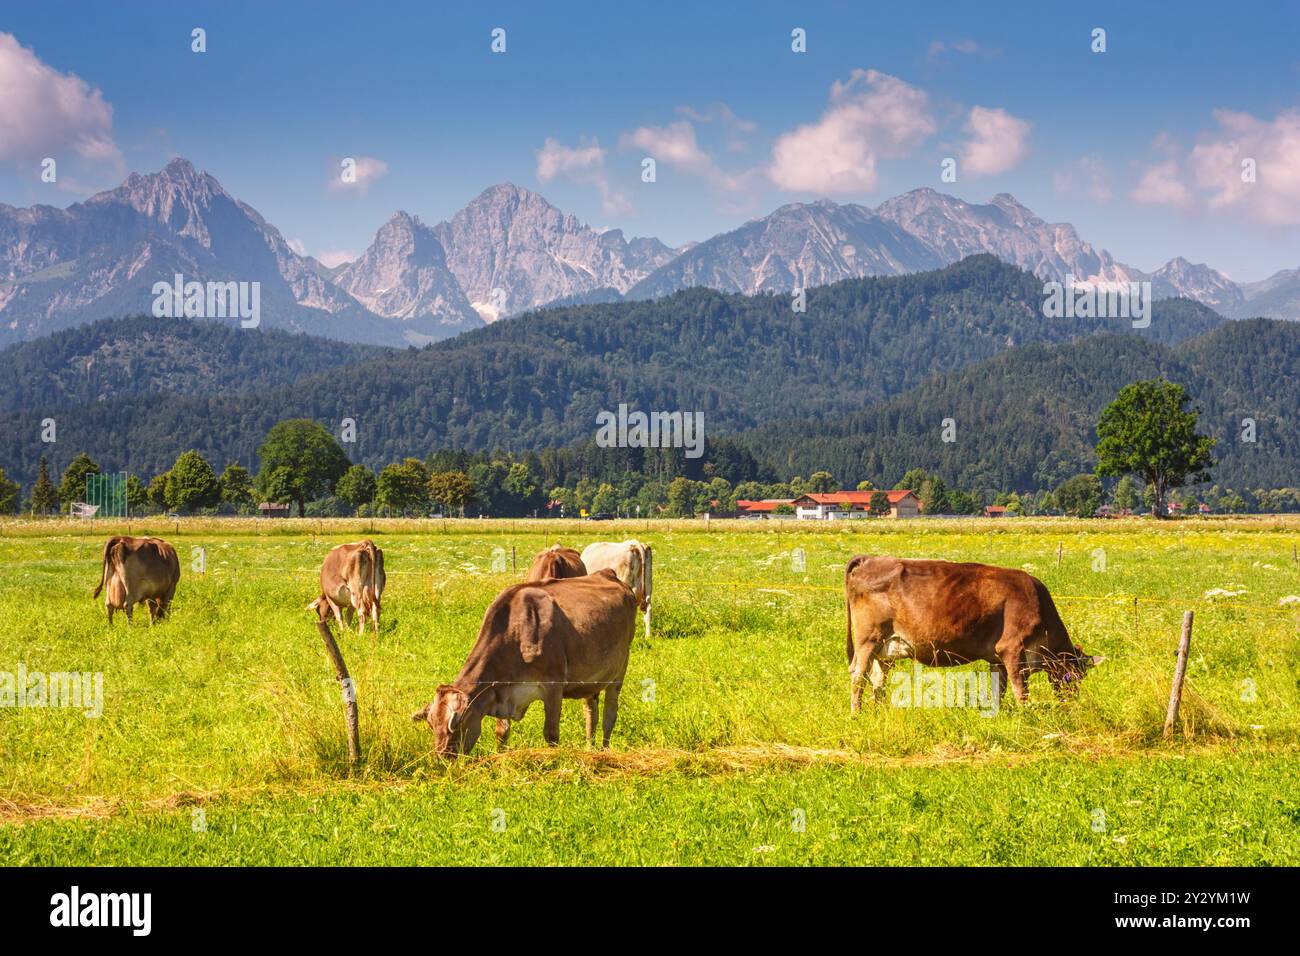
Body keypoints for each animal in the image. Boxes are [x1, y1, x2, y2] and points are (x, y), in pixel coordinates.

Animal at [413, 567, 637, 754]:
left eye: (456, 726)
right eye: (432, 725)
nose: (442, 757)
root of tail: (609, 575)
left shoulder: (553, 686)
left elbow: (551, 734)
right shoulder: (503, 690)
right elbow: (501, 733)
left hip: (620, 670)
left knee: (609, 715)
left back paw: (605, 751)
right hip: (592, 679)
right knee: (591, 712)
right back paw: (590, 749)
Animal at [842, 554, 1097, 712]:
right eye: (1076, 675)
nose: (1071, 702)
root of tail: (869, 559)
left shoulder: (998, 659)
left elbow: (999, 689)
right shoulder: (1013, 649)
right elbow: (1020, 689)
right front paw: (1026, 714)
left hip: (886, 648)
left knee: (877, 678)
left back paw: (881, 711)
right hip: (868, 640)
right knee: (858, 675)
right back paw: (857, 713)